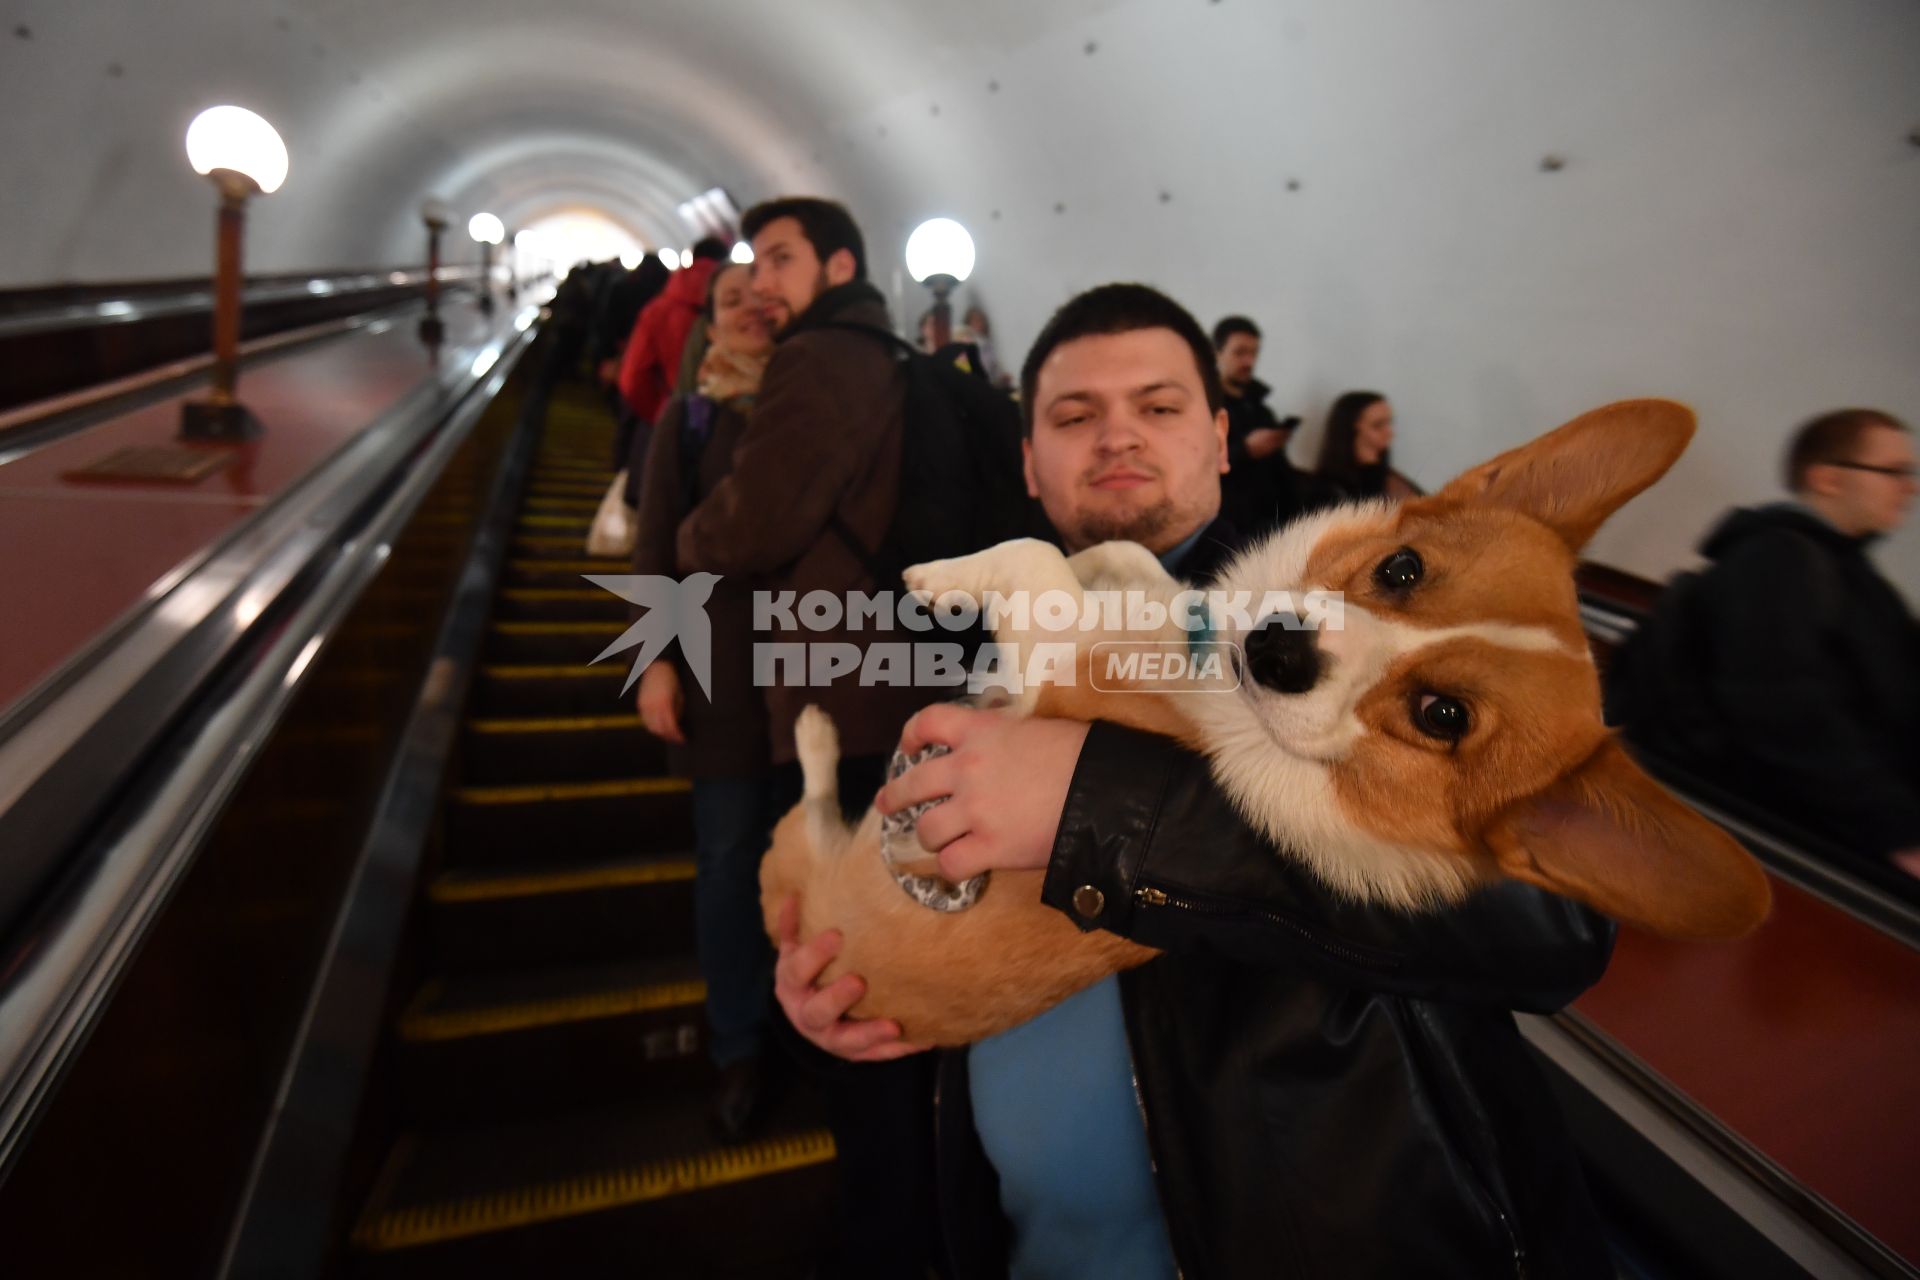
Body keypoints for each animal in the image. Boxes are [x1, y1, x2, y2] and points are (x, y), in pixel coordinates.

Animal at [760, 401, 1766, 1051]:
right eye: (1402, 568)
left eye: (1444, 717)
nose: (1277, 648)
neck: (1208, 671)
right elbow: (1119, 555)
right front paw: (1097, 562)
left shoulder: (1055, 674)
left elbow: (1038, 558)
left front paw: (939, 577)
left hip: (789, 859)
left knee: (802, 815)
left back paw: (813, 736)